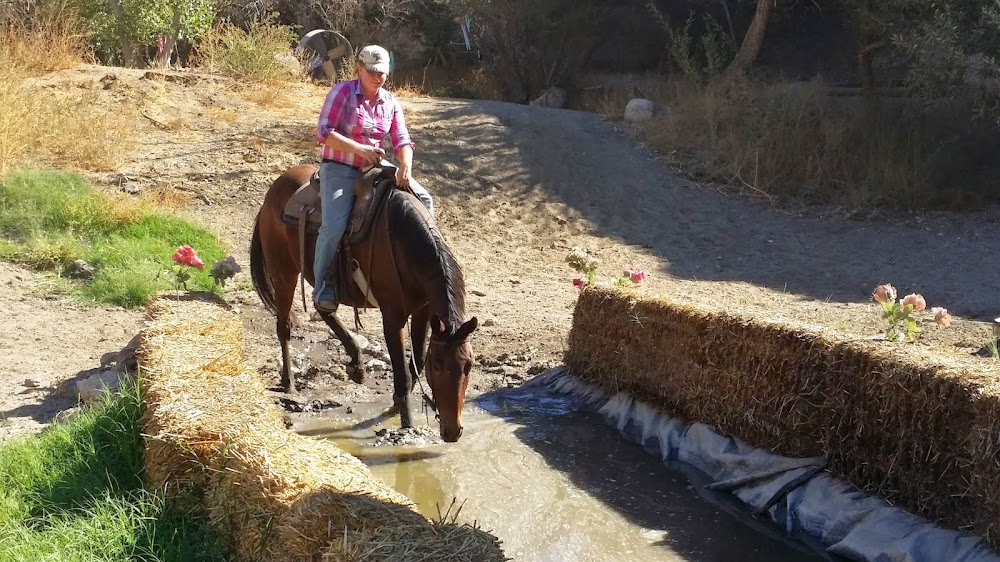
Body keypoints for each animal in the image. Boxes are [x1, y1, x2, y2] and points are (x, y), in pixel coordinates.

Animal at [248, 163, 478, 442]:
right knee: (284, 327)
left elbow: (417, 359)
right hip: (284, 272)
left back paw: (356, 364)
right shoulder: (393, 316)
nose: (453, 431)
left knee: (322, 307)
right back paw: (289, 383)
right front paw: (406, 422)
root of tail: (275, 187)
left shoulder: (423, 312)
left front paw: (397, 401)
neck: (402, 241)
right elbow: (402, 370)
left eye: (468, 366)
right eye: (439, 365)